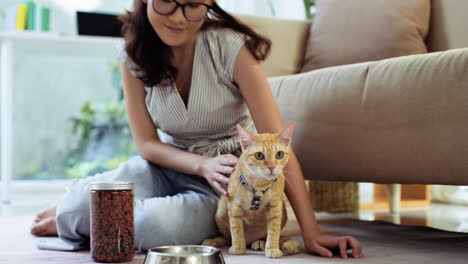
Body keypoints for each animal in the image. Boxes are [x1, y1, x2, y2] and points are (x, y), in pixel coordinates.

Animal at [202, 122, 300, 258]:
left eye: (279, 154)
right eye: (259, 155)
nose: (271, 167)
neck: (259, 185)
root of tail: (249, 240)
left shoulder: (275, 206)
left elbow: (274, 230)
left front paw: (272, 249)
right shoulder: (234, 205)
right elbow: (236, 229)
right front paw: (238, 248)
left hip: (282, 211)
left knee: (266, 236)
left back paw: (260, 242)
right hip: (221, 210)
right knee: (227, 237)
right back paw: (215, 240)